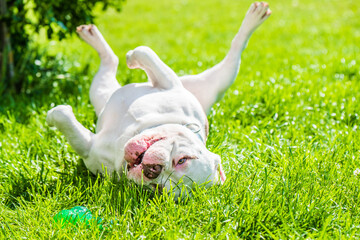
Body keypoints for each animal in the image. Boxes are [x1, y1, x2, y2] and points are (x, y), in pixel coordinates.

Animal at [47, 1, 270, 196]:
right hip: (210, 83)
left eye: (158, 190)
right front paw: (133, 58)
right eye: (183, 160)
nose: (153, 171)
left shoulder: (89, 149)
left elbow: (66, 123)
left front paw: (54, 115)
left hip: (102, 93)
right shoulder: (170, 83)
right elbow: (144, 51)